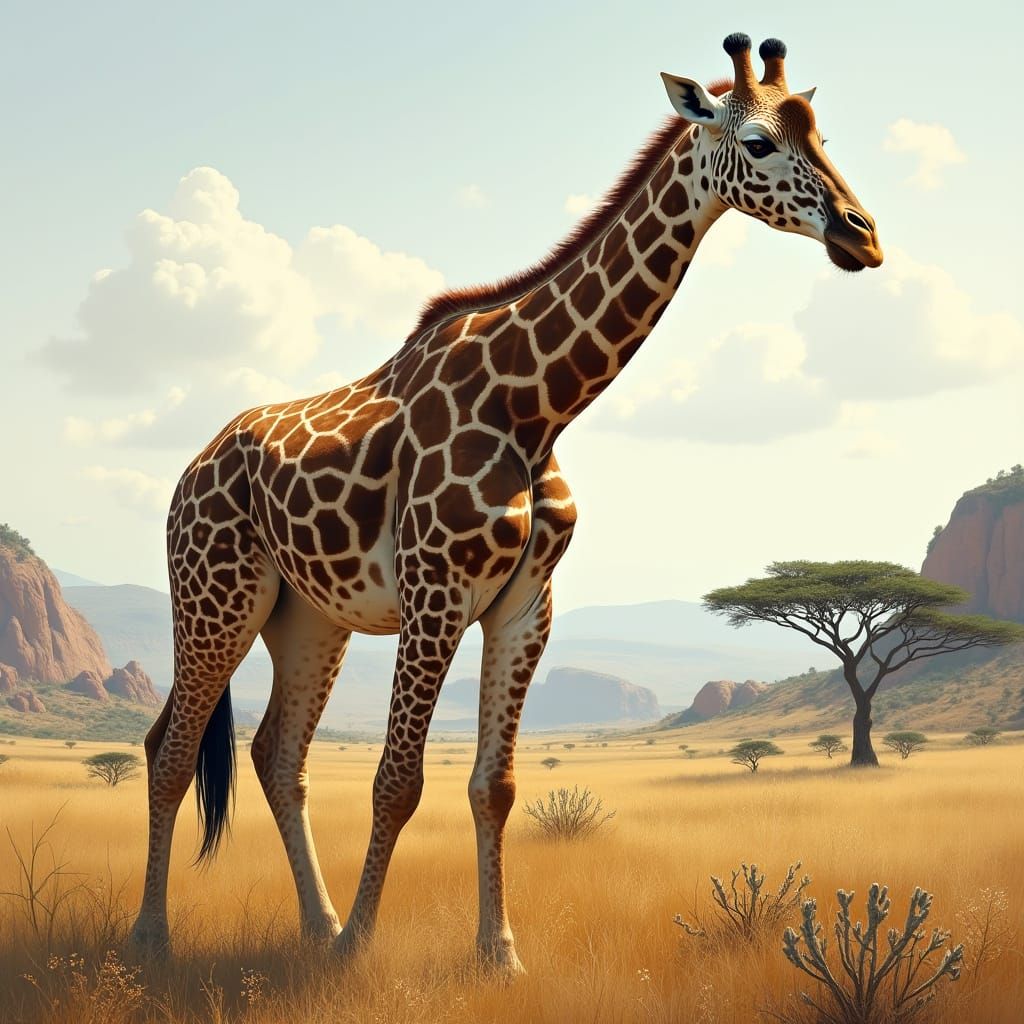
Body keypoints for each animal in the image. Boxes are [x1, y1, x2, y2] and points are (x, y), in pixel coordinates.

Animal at [128, 33, 882, 973]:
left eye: (821, 134)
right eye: (758, 142)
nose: (863, 236)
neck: (538, 406)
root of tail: (189, 472)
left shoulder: (526, 603)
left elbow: (496, 786)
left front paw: (498, 953)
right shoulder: (437, 592)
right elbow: (397, 779)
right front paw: (361, 954)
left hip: (309, 617)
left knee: (276, 754)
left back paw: (316, 924)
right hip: (215, 596)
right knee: (169, 747)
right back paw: (155, 937)